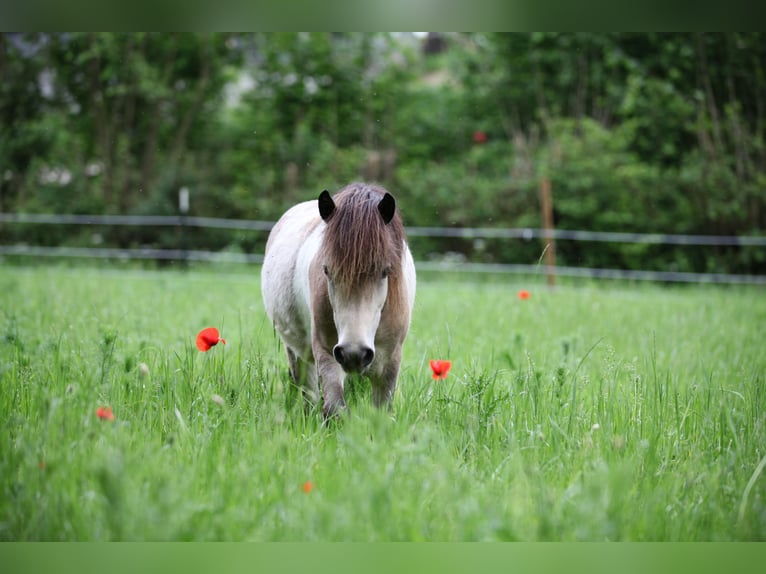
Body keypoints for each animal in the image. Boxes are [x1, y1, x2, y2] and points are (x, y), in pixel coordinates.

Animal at [264, 182, 420, 416]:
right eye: (327, 270)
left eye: (385, 271)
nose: (353, 354)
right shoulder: (326, 353)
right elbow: (335, 408)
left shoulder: (390, 363)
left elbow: (382, 412)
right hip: (298, 354)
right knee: (308, 394)